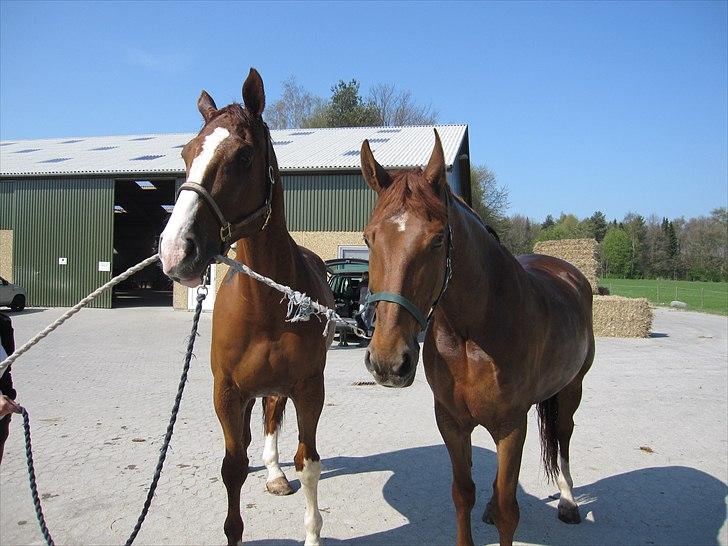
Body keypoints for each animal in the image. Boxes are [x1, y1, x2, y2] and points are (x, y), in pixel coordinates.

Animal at [159, 69, 332, 544]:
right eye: (187, 152)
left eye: (244, 156)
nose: (175, 250)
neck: (264, 306)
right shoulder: (227, 391)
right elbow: (232, 467)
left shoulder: (309, 389)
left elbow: (309, 464)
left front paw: (312, 532)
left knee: (272, 418)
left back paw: (274, 474)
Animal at [362, 133, 596, 544]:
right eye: (369, 238)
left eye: (437, 240)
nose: (388, 361)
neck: (472, 333)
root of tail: (569, 273)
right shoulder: (452, 422)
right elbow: (463, 494)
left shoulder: (511, 426)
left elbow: (509, 510)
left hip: (571, 389)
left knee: (564, 436)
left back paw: (568, 503)